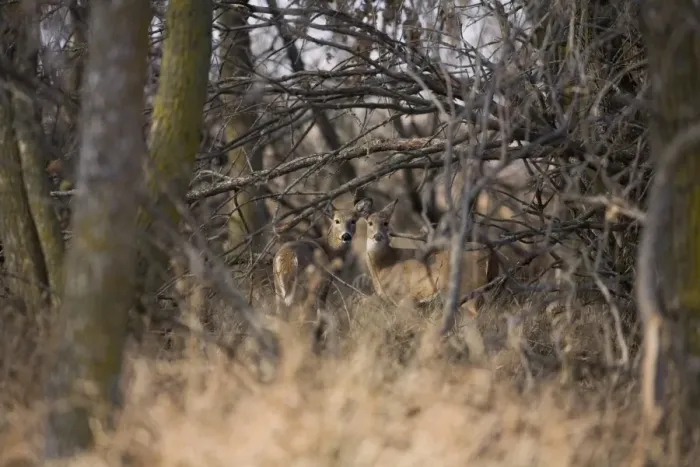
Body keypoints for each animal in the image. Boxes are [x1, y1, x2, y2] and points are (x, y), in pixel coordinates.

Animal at [362, 199, 500, 318]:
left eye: (386, 223)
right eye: (370, 223)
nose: (377, 236)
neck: (386, 264)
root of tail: (490, 253)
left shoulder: (404, 296)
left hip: (466, 287)